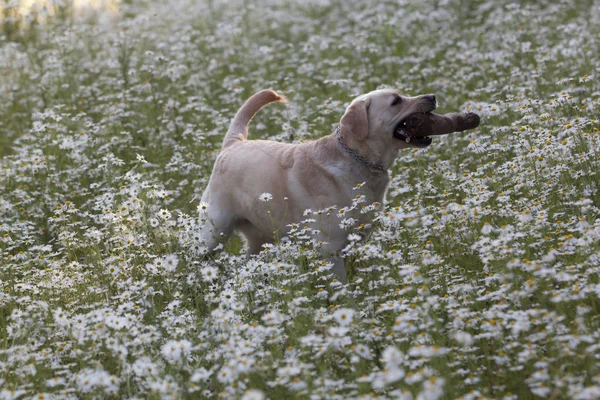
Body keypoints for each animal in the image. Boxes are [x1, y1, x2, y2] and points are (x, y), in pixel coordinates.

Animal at [200, 88, 436, 280]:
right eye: (396, 101)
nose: (432, 97)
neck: (356, 158)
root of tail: (233, 143)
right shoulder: (330, 248)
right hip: (213, 232)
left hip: (259, 239)